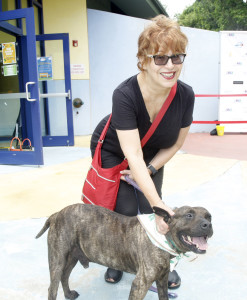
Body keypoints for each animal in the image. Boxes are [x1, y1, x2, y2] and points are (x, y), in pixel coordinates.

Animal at [36, 204, 212, 300]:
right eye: (189, 215)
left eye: (209, 217)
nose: (207, 225)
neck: (163, 237)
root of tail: (57, 213)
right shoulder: (140, 285)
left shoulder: (162, 280)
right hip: (57, 260)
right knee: (52, 287)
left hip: (71, 258)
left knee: (64, 277)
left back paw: (68, 294)